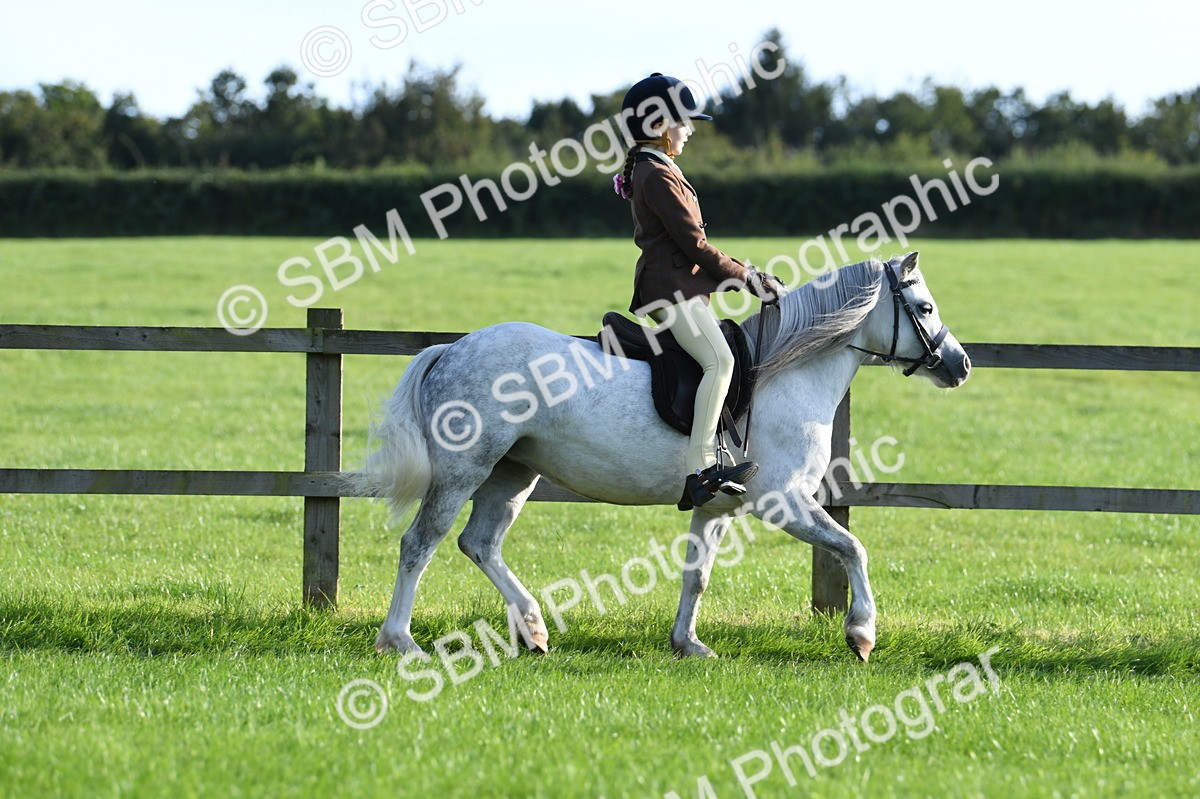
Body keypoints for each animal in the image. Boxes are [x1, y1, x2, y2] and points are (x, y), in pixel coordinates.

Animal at [349, 251, 970, 662]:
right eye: (924, 306)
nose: (959, 365)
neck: (784, 373)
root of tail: (453, 347)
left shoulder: (717, 506)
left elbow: (697, 576)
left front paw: (687, 643)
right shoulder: (785, 502)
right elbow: (852, 548)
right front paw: (861, 634)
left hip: (512, 474)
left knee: (479, 544)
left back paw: (533, 628)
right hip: (464, 470)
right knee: (420, 544)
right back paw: (400, 641)